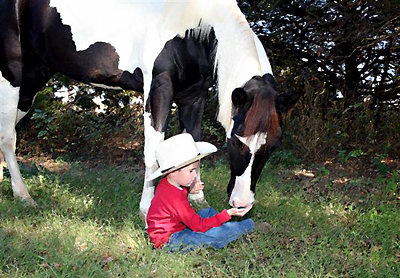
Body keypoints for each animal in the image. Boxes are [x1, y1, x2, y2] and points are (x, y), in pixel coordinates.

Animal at [0, 0, 298, 216]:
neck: (193, 25)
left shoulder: (193, 97)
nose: (242, 203)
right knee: (8, 138)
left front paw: (197, 198)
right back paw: (23, 196)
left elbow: (194, 146)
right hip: (11, 77)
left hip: (32, 82)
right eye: (235, 141)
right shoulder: (158, 90)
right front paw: (146, 208)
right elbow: (152, 153)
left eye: (272, 146)